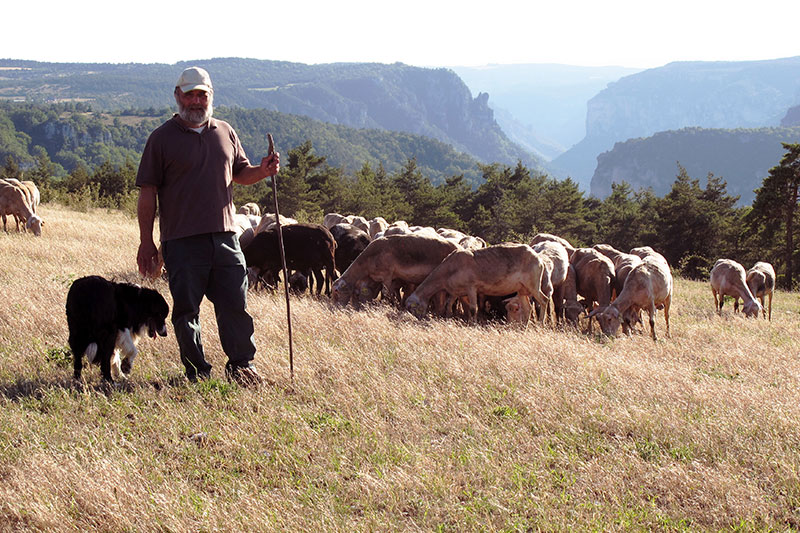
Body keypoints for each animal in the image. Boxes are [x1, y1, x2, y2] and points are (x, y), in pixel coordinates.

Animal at [406, 243, 552, 322]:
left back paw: (541, 324)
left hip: (533, 284)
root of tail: (539, 259)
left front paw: (473, 324)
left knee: (544, 300)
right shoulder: (456, 292)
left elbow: (472, 308)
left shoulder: (471, 287)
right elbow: (449, 306)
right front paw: (448, 319)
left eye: (412, 308)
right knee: (527, 308)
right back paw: (524, 328)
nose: (419, 319)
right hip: (522, 289)